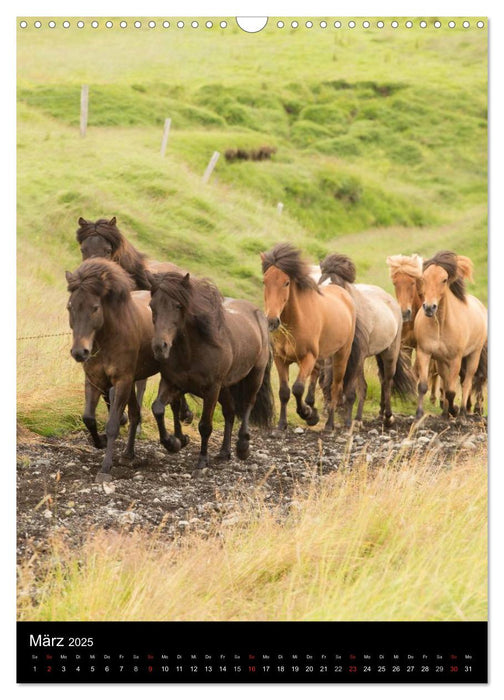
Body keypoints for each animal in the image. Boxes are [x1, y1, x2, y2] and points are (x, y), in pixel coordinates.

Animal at [66, 258, 181, 482]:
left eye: (95, 307)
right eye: (70, 306)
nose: (79, 352)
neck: (108, 339)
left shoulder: (122, 381)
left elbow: (113, 425)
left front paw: (105, 468)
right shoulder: (94, 380)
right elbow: (89, 417)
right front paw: (100, 442)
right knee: (136, 414)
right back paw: (129, 454)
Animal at [148, 270, 274, 468]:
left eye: (178, 305)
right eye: (152, 305)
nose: (160, 347)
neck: (191, 351)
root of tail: (259, 314)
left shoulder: (211, 389)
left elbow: (205, 425)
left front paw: (202, 460)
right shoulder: (171, 383)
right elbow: (158, 408)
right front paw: (173, 443)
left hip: (254, 376)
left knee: (247, 404)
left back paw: (242, 447)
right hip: (225, 387)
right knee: (230, 412)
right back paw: (224, 452)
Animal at [260, 245, 362, 432]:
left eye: (286, 282)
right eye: (265, 281)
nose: (271, 321)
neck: (296, 321)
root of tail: (343, 293)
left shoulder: (307, 357)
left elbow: (297, 388)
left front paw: (308, 414)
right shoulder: (280, 359)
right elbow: (284, 392)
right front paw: (281, 425)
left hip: (341, 355)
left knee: (335, 387)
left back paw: (329, 425)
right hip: (321, 355)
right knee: (316, 376)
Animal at [316, 253, 416, 426]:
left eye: (336, 286)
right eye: (319, 285)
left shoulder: (357, 356)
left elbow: (351, 391)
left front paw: (346, 420)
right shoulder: (334, 357)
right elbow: (330, 384)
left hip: (389, 353)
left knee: (387, 381)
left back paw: (387, 417)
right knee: (375, 382)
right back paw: (366, 416)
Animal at [414, 250, 488, 418]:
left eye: (444, 279)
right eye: (424, 278)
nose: (429, 308)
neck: (440, 324)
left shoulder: (456, 359)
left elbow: (452, 391)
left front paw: (455, 410)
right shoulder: (424, 353)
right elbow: (424, 386)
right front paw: (419, 414)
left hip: (474, 355)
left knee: (467, 382)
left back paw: (462, 413)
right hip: (442, 361)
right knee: (447, 381)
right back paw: (445, 413)